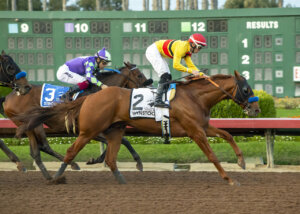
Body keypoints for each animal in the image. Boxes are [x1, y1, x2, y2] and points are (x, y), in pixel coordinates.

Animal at [0, 51, 152, 180]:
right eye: (139, 75)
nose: (149, 88)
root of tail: (9, 96)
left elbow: (121, 141)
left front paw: (96, 160)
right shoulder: (86, 129)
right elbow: (119, 141)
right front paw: (137, 162)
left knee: (42, 147)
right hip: (31, 125)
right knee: (39, 149)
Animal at [15, 71, 260, 185]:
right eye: (246, 89)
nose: (257, 109)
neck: (194, 97)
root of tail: (89, 97)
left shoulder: (203, 126)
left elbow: (227, 134)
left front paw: (241, 161)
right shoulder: (195, 131)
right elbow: (212, 155)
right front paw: (230, 179)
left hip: (115, 130)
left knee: (111, 158)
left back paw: (123, 181)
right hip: (89, 131)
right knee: (70, 151)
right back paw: (56, 177)